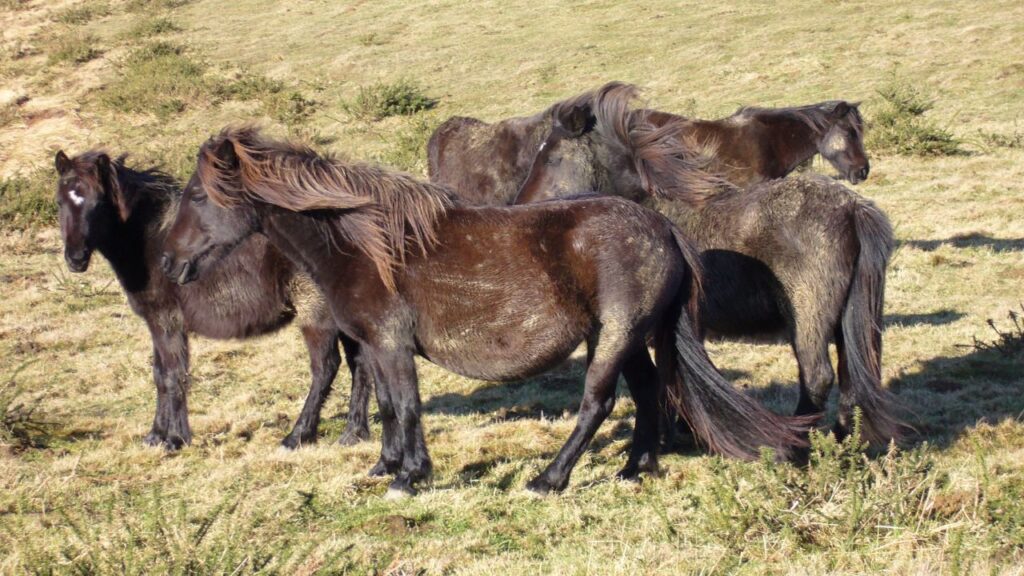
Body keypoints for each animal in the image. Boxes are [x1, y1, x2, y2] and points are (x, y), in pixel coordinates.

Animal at [52, 150, 374, 450]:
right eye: (59, 202)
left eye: (98, 203)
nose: (75, 259)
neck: (151, 242)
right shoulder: (156, 324)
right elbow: (159, 375)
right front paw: (155, 435)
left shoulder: (166, 322)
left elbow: (173, 376)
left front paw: (175, 439)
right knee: (359, 364)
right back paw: (353, 433)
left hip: (316, 313)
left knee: (325, 368)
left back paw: (297, 436)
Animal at [160, 126, 814, 496]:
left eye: (195, 195)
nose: (166, 262)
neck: (364, 243)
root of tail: (663, 228)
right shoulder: (373, 346)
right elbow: (388, 407)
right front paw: (384, 466)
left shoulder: (391, 344)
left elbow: (405, 405)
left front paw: (409, 478)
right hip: (625, 336)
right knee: (650, 391)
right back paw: (635, 469)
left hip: (617, 336)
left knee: (597, 402)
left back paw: (549, 480)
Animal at [513, 83, 903, 446]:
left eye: (551, 158)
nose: (520, 205)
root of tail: (853, 209)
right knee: (851, 375)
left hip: (809, 319)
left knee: (817, 376)